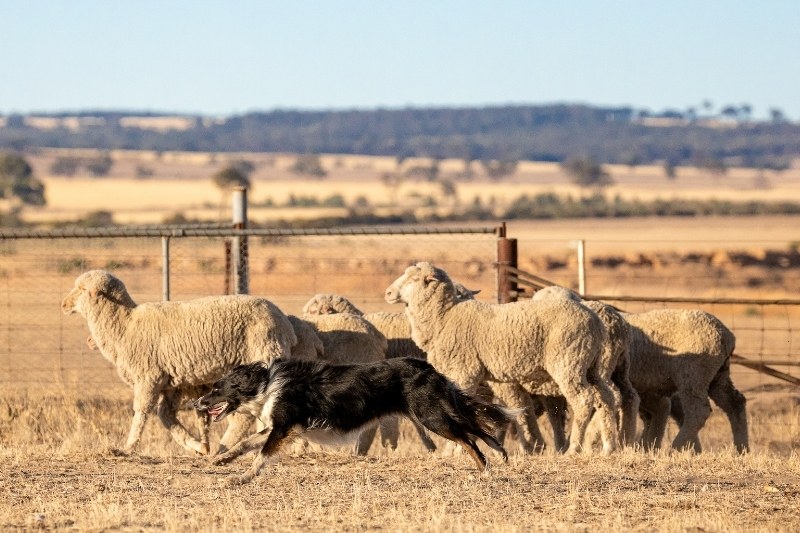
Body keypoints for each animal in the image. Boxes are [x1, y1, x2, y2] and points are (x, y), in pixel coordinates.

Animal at [60, 270, 296, 458]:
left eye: (81, 289)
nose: (63, 304)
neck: (124, 324)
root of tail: (284, 323)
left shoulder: (148, 377)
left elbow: (141, 412)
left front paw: (128, 448)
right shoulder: (171, 383)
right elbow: (165, 416)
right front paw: (196, 445)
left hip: (262, 354)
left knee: (249, 413)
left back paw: (228, 448)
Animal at [197, 358, 516, 482]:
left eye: (216, 389)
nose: (196, 403)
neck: (265, 385)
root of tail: (429, 368)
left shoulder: (285, 426)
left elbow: (261, 454)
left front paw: (242, 477)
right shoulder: (284, 427)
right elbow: (246, 443)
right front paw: (221, 460)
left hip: (431, 416)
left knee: (470, 439)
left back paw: (485, 471)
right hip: (434, 415)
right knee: (472, 435)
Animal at [384, 260, 620, 454]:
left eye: (415, 279)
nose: (388, 293)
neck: (445, 317)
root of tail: (595, 321)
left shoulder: (465, 371)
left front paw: (455, 450)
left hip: (569, 362)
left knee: (583, 400)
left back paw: (574, 448)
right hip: (592, 367)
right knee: (606, 398)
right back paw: (609, 446)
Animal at [624, 308, 752, 454]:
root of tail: (726, 335)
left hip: (693, 374)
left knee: (698, 411)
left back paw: (676, 448)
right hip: (718, 376)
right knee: (735, 402)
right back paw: (741, 450)